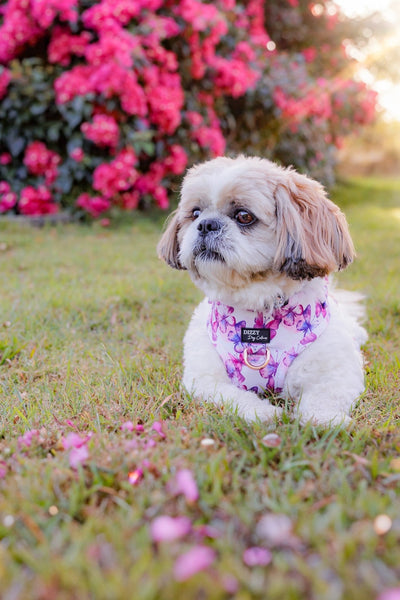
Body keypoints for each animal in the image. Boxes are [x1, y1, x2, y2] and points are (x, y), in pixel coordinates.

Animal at [155, 156, 366, 426]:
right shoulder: (204, 380)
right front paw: (263, 412)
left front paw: (325, 419)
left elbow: (324, 398)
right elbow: (232, 396)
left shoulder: (336, 371)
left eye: (244, 216)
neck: (257, 311)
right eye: (195, 213)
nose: (206, 225)